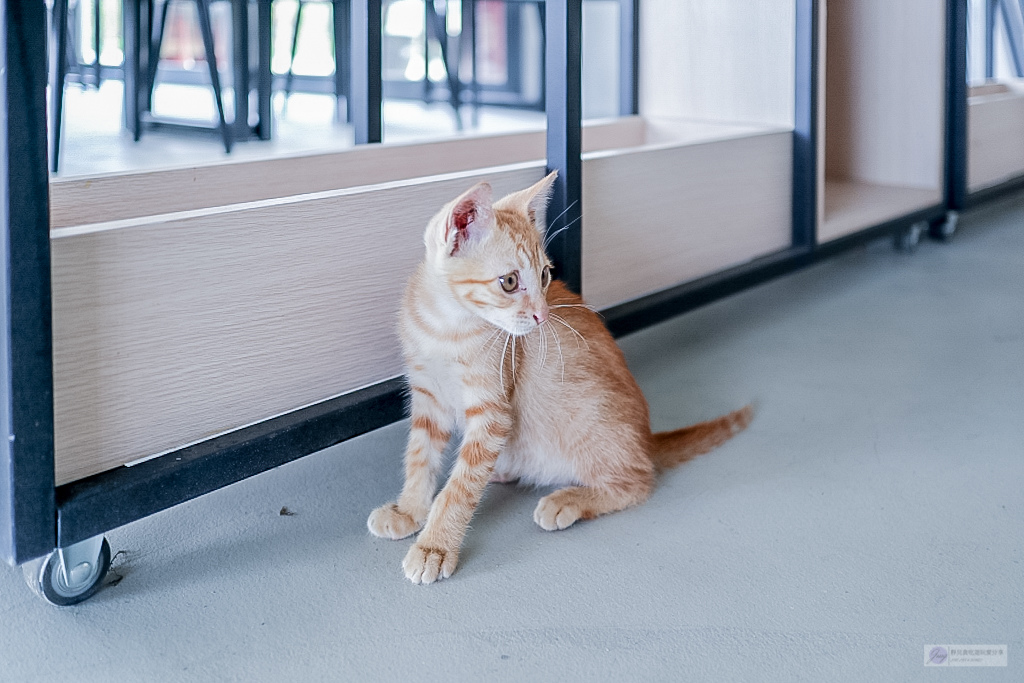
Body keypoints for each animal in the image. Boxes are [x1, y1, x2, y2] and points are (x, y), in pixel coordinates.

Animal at [368, 174, 753, 585]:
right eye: (509, 281)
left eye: (544, 275)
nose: (543, 315)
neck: (444, 328)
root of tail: (646, 440)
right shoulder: (428, 398)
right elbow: (420, 458)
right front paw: (409, 510)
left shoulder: (492, 411)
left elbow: (459, 487)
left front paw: (435, 546)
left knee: (639, 480)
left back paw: (570, 498)